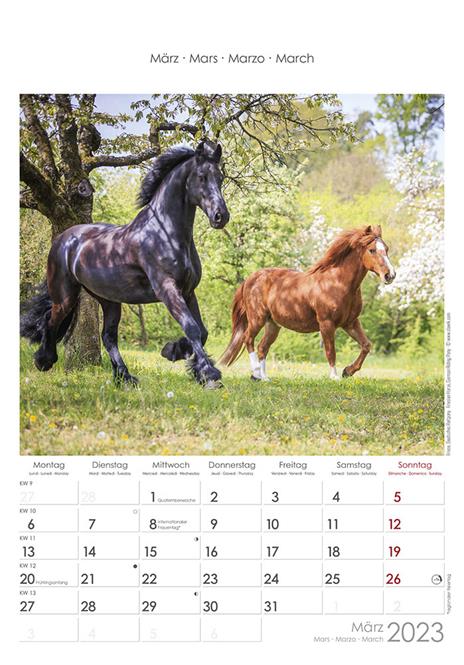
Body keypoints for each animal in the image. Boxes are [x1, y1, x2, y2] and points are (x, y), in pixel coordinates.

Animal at [20, 141, 230, 388]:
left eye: (220, 177)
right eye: (201, 177)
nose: (221, 216)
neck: (164, 232)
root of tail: (63, 239)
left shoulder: (188, 291)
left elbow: (202, 332)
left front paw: (176, 353)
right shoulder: (168, 289)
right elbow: (192, 328)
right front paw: (209, 375)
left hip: (109, 300)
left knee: (108, 337)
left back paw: (125, 377)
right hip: (66, 296)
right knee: (50, 320)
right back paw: (44, 360)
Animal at [220, 225, 396, 381]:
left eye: (386, 249)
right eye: (372, 250)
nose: (390, 275)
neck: (338, 283)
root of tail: (251, 278)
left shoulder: (350, 323)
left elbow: (366, 345)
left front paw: (348, 371)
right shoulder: (326, 323)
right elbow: (330, 351)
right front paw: (334, 377)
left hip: (273, 324)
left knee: (262, 347)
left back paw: (264, 378)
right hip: (257, 319)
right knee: (248, 339)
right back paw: (256, 373)